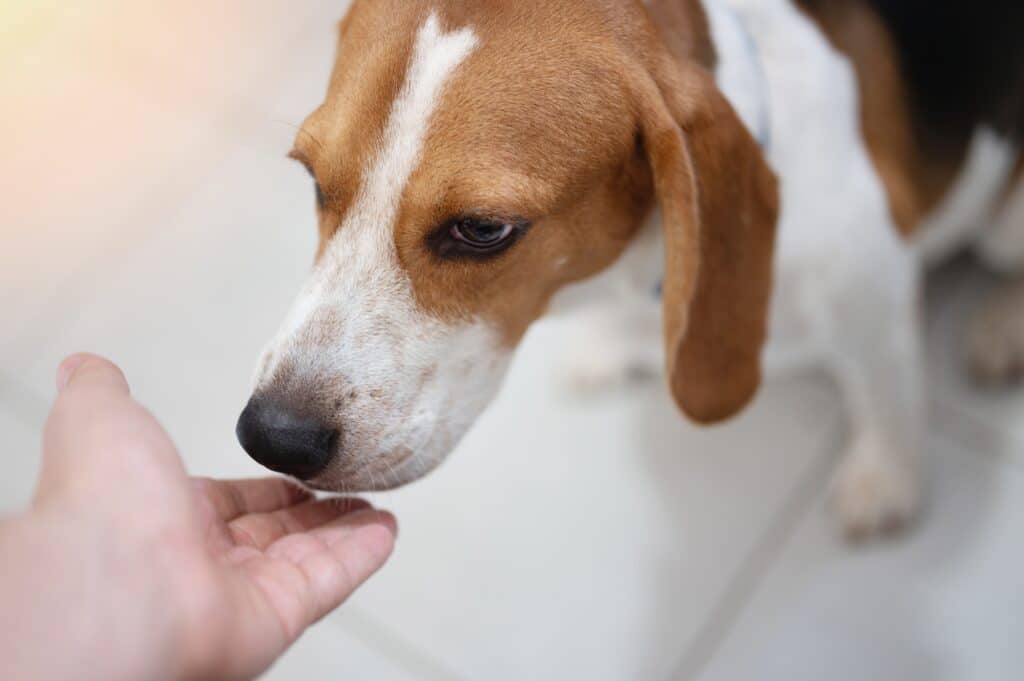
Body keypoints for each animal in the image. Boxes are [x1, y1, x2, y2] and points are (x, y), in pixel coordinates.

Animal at [235, 0, 1024, 536]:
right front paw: (612, 346)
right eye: (312, 179)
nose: (272, 437)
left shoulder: (873, 296)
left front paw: (888, 478)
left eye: (484, 230)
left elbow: (886, 394)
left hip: (1002, 226)